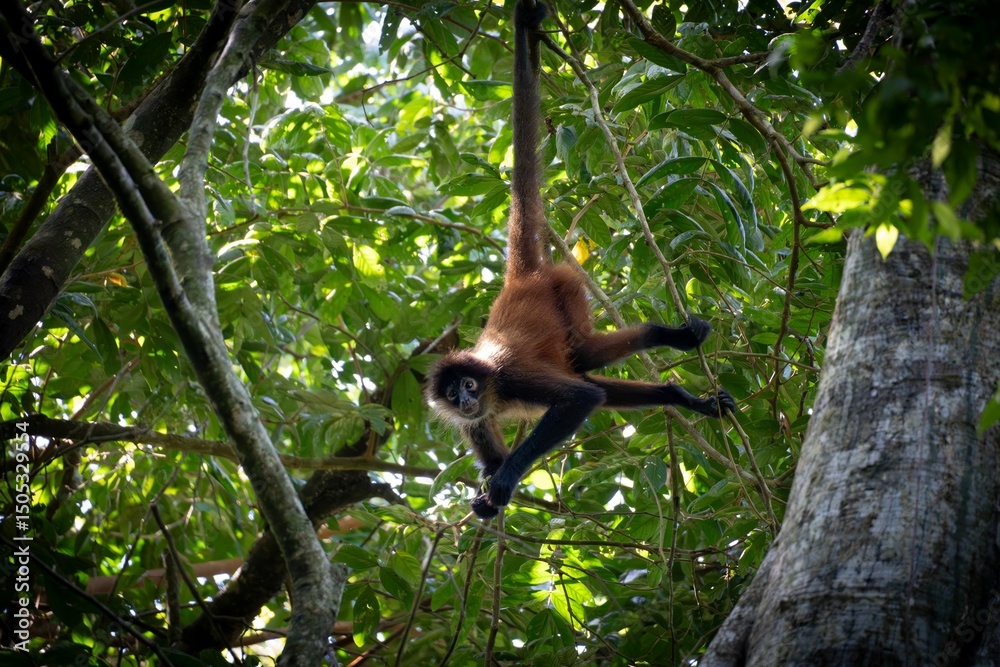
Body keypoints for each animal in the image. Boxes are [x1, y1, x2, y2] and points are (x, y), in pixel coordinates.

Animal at [427, 0, 735, 519]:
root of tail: (521, 279)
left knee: (588, 358)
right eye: (452, 394)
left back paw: (671, 336)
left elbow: (581, 398)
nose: (465, 400)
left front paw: (506, 480)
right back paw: (681, 398)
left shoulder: (512, 377)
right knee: (593, 375)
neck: (491, 389)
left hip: (566, 289)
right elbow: (576, 400)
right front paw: (489, 492)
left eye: (469, 385)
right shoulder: (475, 418)